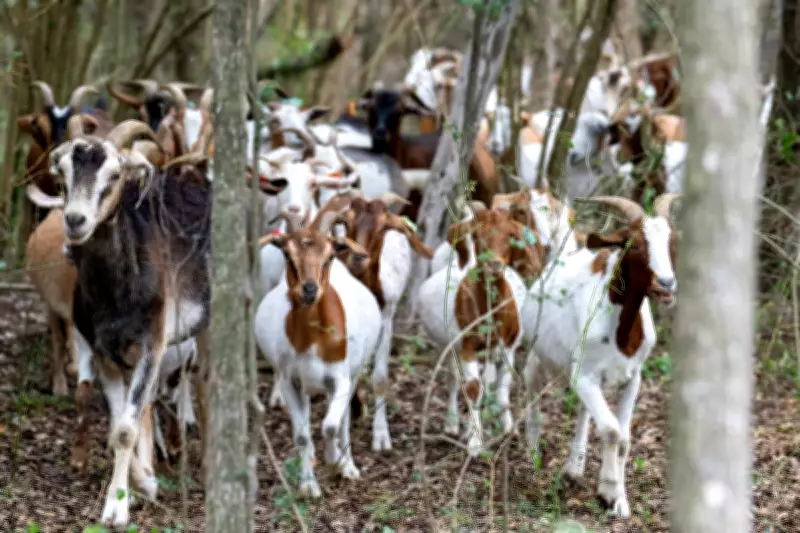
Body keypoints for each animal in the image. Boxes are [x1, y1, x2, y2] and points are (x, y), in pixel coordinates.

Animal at [27, 119, 211, 527]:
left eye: (114, 176)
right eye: (63, 175)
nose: (75, 220)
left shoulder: (151, 342)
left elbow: (126, 428)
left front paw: (117, 508)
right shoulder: (104, 350)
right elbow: (119, 425)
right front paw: (142, 486)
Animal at [254, 212, 381, 498]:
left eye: (329, 255)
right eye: (287, 254)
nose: (309, 290)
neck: (313, 342)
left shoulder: (341, 379)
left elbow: (331, 425)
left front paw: (334, 460)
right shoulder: (289, 381)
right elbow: (301, 435)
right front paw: (308, 485)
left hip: (353, 375)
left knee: (343, 421)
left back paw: (348, 465)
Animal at [416, 209, 544, 456]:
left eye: (511, 234)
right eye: (477, 235)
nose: (493, 264)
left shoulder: (508, 349)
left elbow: (503, 390)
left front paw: (509, 430)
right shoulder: (467, 347)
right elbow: (474, 390)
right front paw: (475, 444)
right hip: (446, 346)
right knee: (454, 380)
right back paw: (453, 424)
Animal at [520, 194, 679, 519]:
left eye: (671, 241)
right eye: (634, 244)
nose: (666, 284)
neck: (621, 332)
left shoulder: (632, 378)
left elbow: (625, 439)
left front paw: (620, 501)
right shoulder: (586, 376)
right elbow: (611, 430)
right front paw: (609, 491)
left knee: (582, 409)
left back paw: (573, 467)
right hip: (539, 354)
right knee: (531, 385)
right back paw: (532, 454)